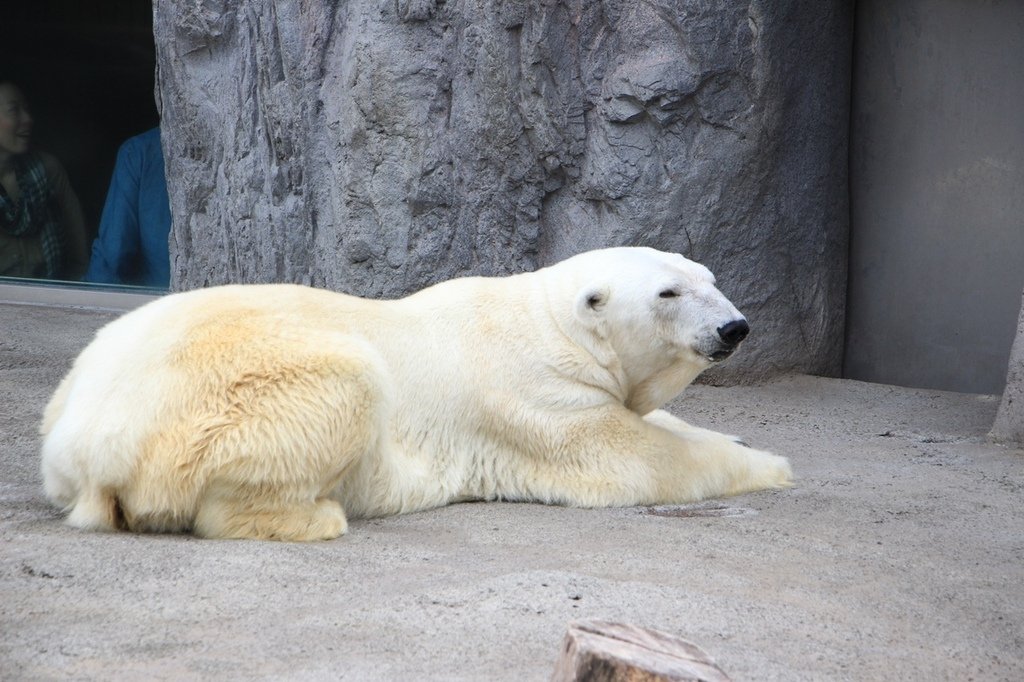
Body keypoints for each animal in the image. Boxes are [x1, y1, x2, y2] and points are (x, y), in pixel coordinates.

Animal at [39, 246, 790, 540]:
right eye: (668, 292)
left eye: (709, 276)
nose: (735, 326)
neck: (549, 324)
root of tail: (90, 450)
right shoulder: (538, 398)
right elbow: (633, 458)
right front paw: (772, 465)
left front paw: (734, 434)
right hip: (226, 397)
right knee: (338, 389)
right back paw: (316, 517)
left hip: (72, 394)